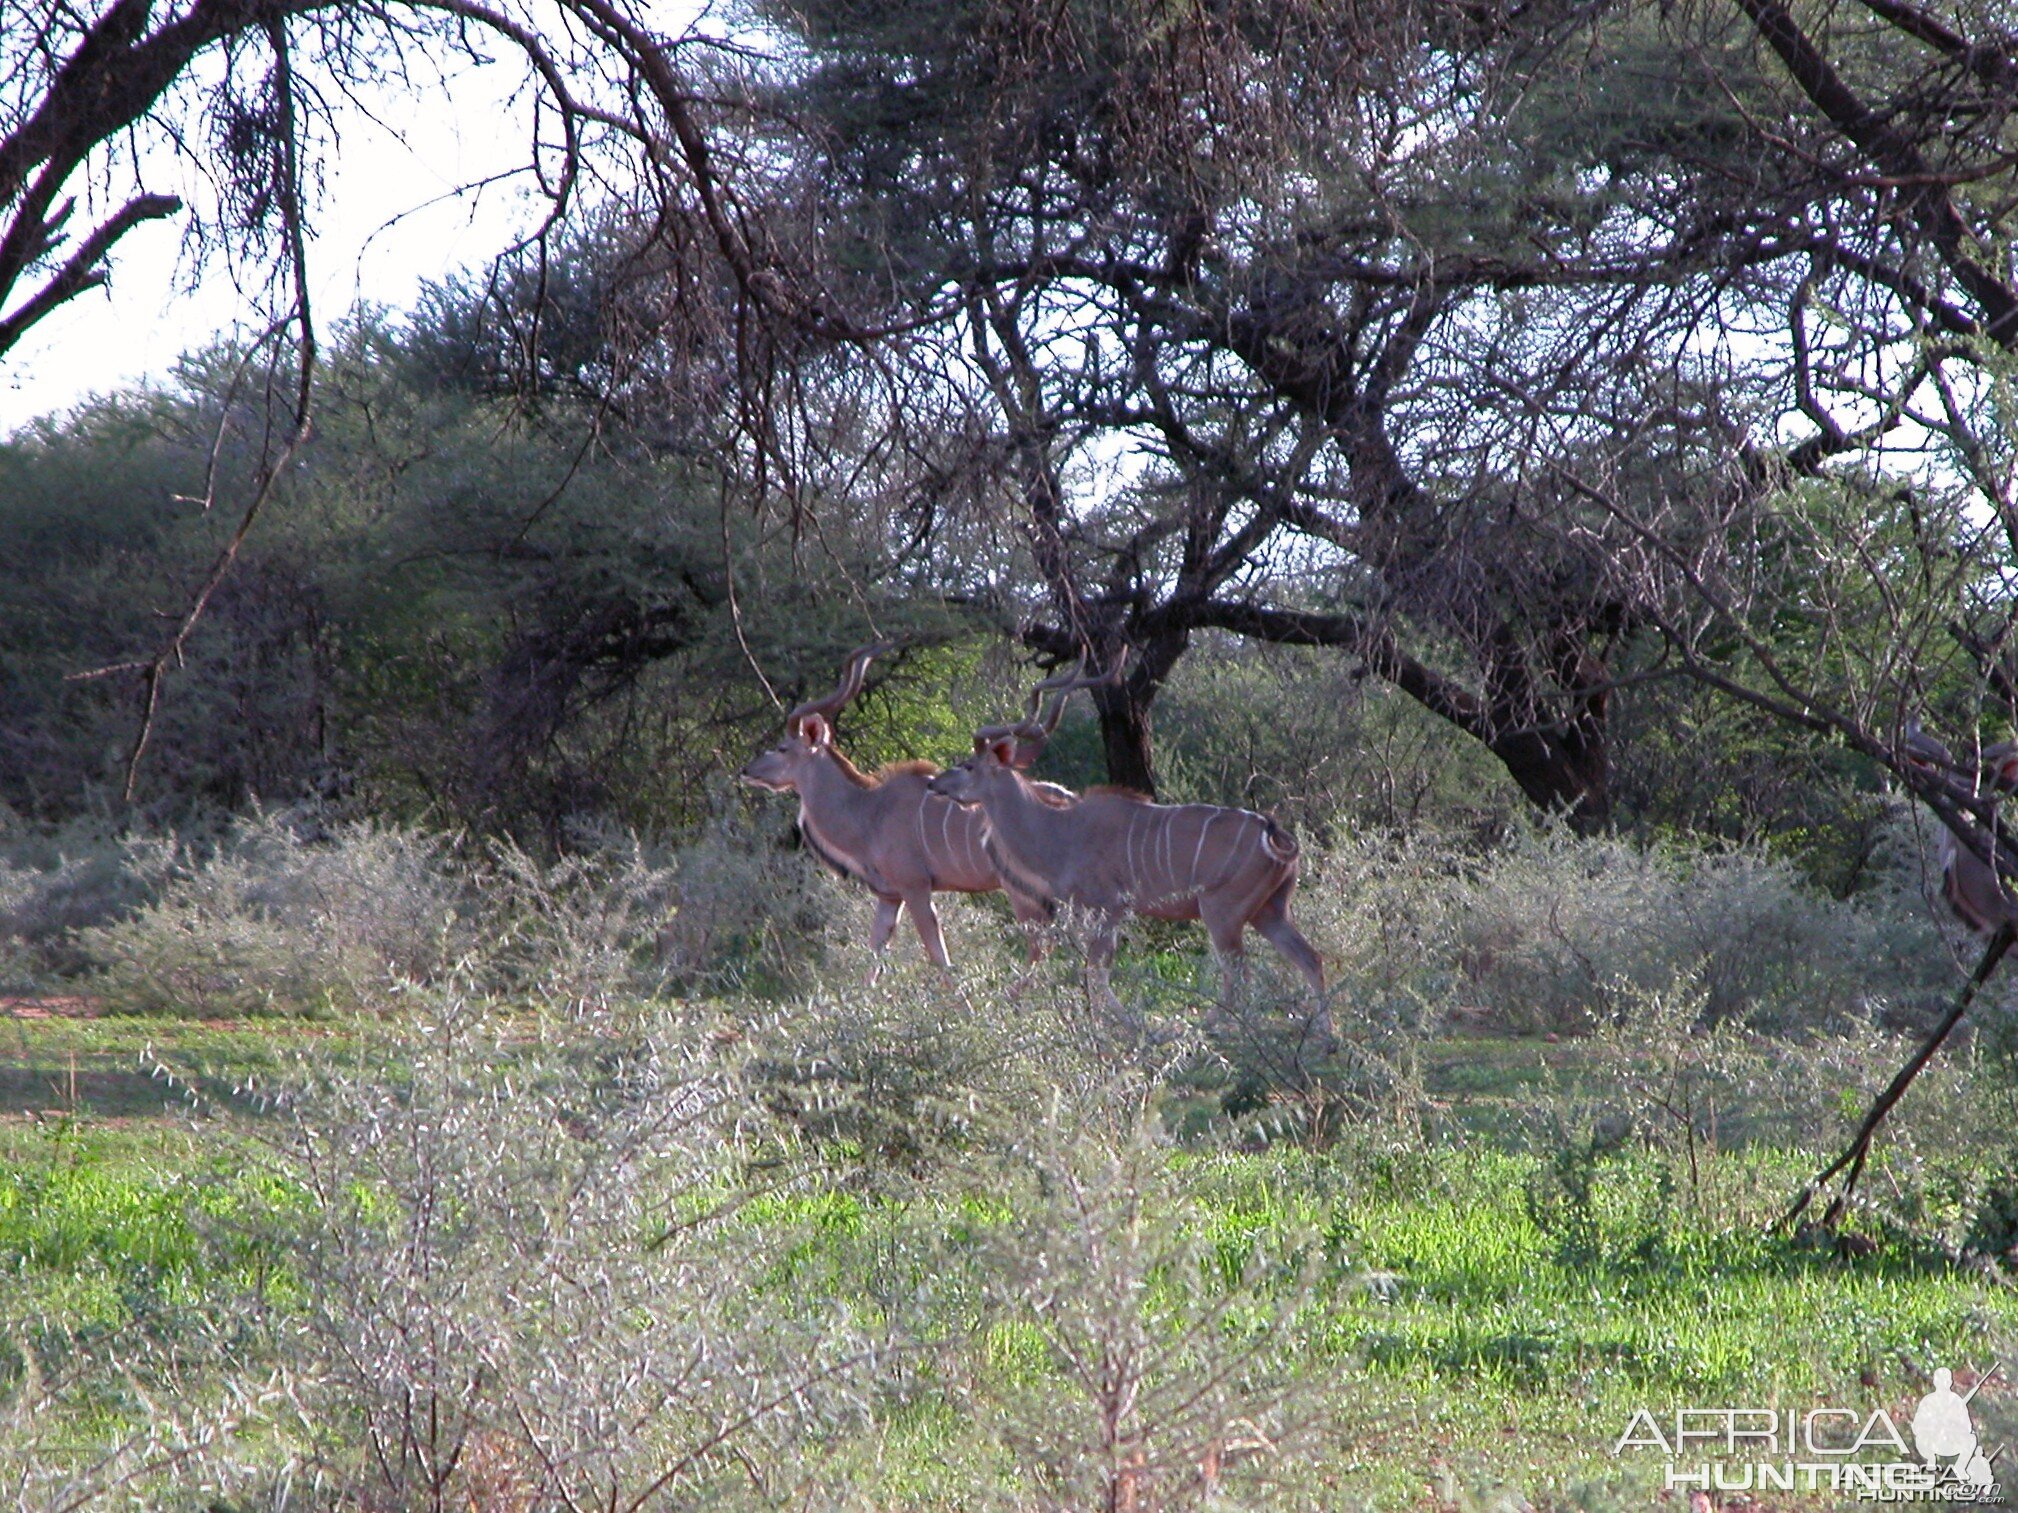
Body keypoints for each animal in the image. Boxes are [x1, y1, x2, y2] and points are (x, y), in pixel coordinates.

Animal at [734, 641, 1065, 984]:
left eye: (783, 748)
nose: (746, 770)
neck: (868, 810)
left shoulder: (915, 888)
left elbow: (940, 959)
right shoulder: (889, 896)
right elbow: (874, 958)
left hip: (1022, 893)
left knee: (1039, 948)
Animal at [924, 661, 1331, 1032]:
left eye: (969, 765)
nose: (933, 784)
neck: (1060, 829)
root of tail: (1274, 835)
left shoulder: (1110, 908)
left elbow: (1097, 973)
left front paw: (1119, 1030)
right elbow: (1092, 972)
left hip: (1221, 912)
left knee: (1238, 977)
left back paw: (1207, 1031)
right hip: (1269, 910)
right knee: (1309, 958)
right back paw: (1323, 1038)